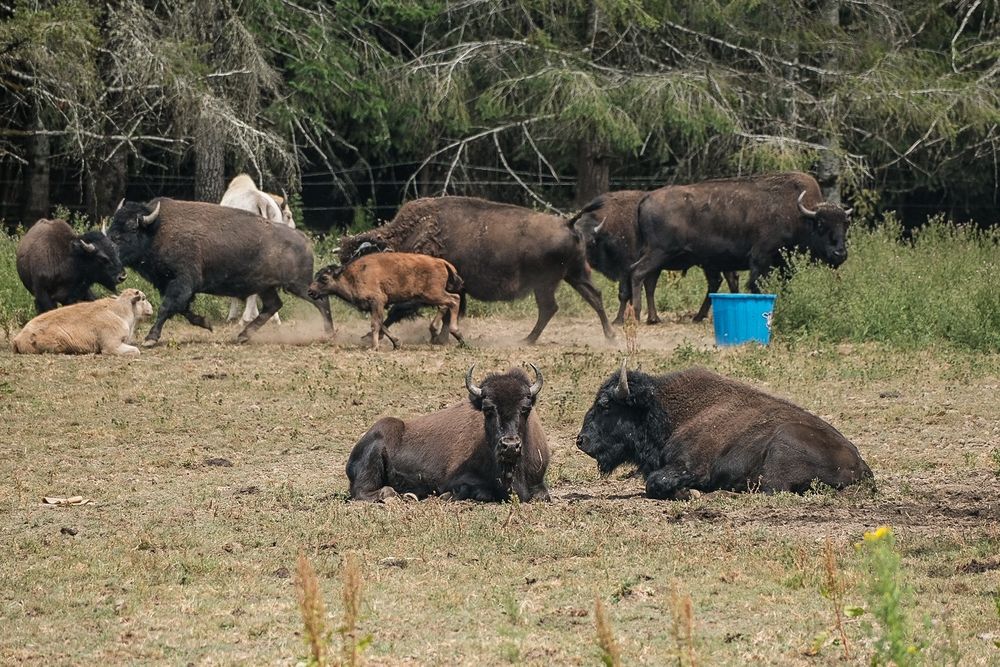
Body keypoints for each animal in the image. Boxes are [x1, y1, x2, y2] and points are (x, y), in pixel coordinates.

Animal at [107, 198, 332, 345]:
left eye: (131, 228)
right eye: (112, 225)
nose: (108, 245)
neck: (157, 229)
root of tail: (305, 240)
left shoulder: (182, 283)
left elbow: (167, 307)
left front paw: (150, 339)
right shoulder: (170, 285)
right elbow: (182, 309)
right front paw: (206, 324)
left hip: (298, 285)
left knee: (321, 301)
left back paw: (329, 333)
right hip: (266, 287)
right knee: (273, 305)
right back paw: (242, 336)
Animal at [338, 196, 615, 344]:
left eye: (361, 259)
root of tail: (569, 223)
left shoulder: (428, 291)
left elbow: (400, 310)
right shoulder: (456, 289)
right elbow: (450, 310)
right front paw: (442, 337)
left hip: (546, 284)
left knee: (551, 307)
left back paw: (527, 339)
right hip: (574, 276)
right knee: (594, 297)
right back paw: (610, 337)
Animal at [572, 191, 738, 324]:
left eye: (591, 242)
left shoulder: (626, 268)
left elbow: (625, 293)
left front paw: (619, 320)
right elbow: (648, 288)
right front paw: (652, 318)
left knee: (718, 281)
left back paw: (700, 316)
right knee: (725, 279)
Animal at [576, 363, 873, 498]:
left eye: (605, 404)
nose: (581, 440)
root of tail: (861, 465)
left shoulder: (691, 466)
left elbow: (655, 482)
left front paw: (689, 493)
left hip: (782, 445)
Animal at [629, 172, 851, 321]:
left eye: (845, 225)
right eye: (821, 224)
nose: (840, 253)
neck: (798, 215)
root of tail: (646, 198)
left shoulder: (784, 266)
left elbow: (784, 286)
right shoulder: (761, 259)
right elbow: (756, 285)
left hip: (662, 258)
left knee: (650, 280)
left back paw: (658, 318)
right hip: (659, 252)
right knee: (638, 273)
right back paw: (638, 315)